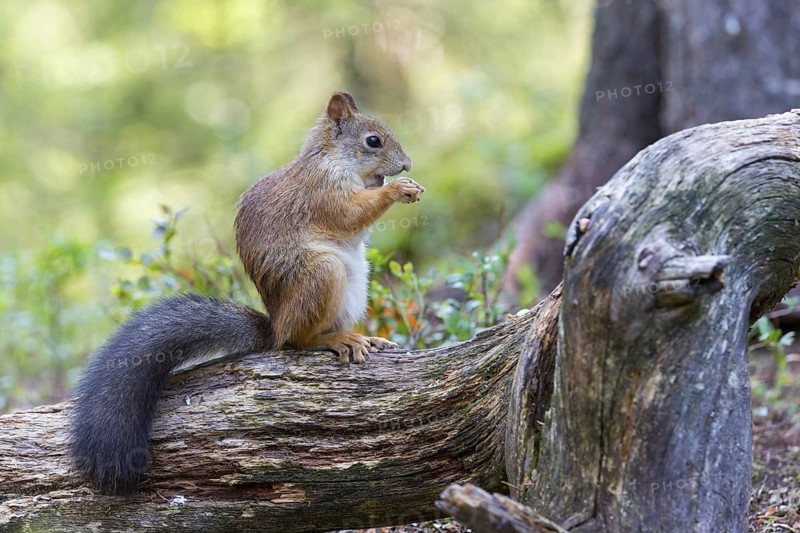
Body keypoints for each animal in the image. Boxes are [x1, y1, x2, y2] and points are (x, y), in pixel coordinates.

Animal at [69, 91, 425, 494]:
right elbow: (349, 213)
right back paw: (336, 340)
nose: (406, 163)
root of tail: (276, 327)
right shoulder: (321, 191)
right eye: (373, 141)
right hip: (323, 275)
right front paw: (398, 189)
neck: (333, 159)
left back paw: (363, 336)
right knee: (299, 341)